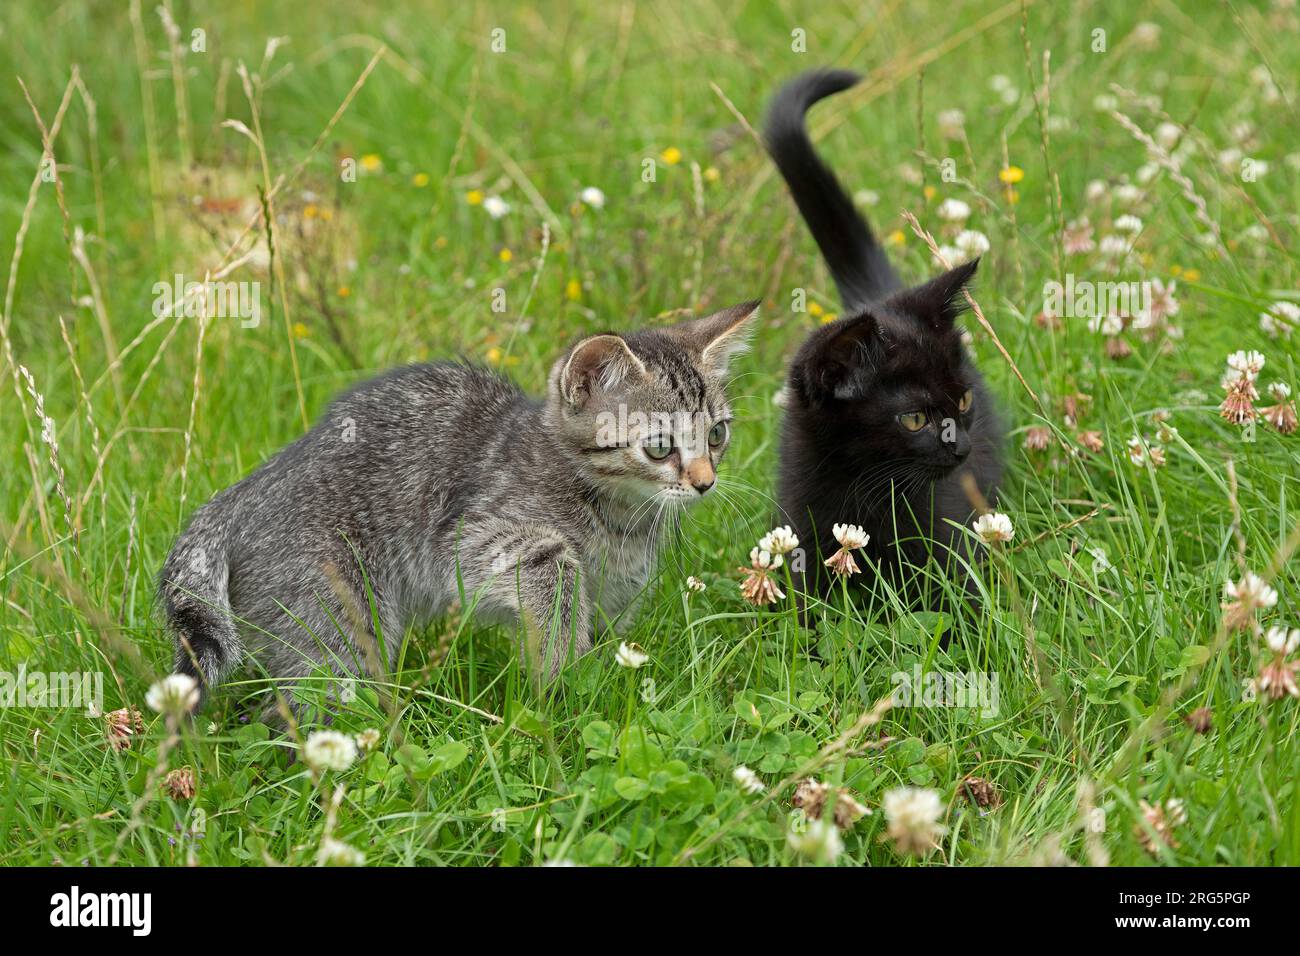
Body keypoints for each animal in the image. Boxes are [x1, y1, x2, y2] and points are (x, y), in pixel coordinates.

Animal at [158, 303, 759, 707]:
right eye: (658, 446)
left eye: (717, 435)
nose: (705, 482)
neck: (619, 518)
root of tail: (245, 491)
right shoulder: (469, 539)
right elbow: (555, 575)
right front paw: (561, 676)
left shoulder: (619, 593)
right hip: (337, 619)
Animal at [759, 70, 1003, 598]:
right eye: (914, 420)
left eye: (964, 401)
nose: (963, 448)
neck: (866, 495)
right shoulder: (805, 536)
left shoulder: (951, 540)